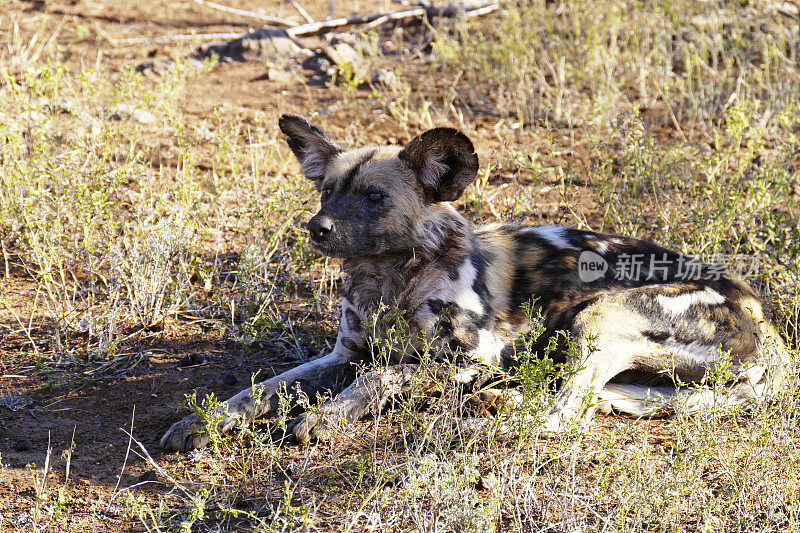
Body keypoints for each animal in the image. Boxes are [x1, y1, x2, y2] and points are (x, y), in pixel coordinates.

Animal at [159, 114, 792, 450]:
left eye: (374, 197)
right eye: (327, 192)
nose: (317, 229)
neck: (389, 284)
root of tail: (769, 323)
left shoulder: (471, 356)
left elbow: (382, 376)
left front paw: (326, 416)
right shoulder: (343, 354)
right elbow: (261, 388)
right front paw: (203, 420)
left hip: (597, 318)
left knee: (561, 416)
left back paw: (489, 416)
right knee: (589, 398)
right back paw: (500, 400)